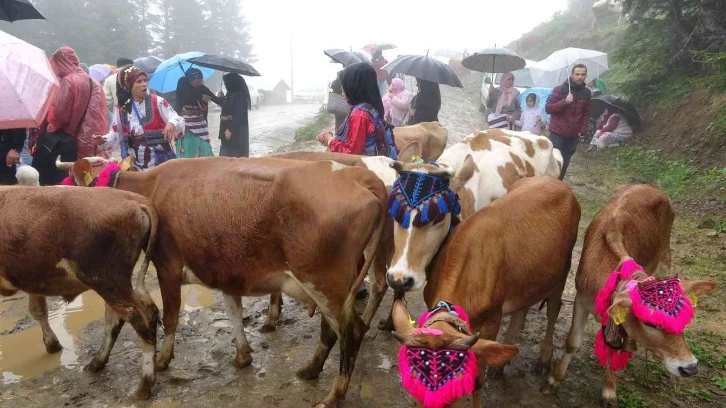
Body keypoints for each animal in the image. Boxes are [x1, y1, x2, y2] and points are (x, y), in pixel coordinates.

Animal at [0, 186, 159, 400]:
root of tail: (133, 198)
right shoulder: (34, 281)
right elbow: (38, 310)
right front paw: (52, 345)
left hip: (106, 281)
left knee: (140, 319)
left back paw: (144, 385)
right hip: (113, 285)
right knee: (121, 319)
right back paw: (97, 363)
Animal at [59, 157, 390, 408]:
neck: (150, 187)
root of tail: (357, 174)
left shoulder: (168, 266)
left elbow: (171, 316)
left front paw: (163, 359)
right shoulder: (227, 271)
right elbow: (233, 314)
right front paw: (242, 355)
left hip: (325, 284)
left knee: (351, 331)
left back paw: (333, 395)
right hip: (331, 287)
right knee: (332, 329)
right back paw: (311, 369)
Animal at [392, 177, 580, 406]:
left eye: (457, 393)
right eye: (414, 392)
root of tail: (556, 181)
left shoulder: (492, 318)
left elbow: (478, 381)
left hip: (563, 270)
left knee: (554, 310)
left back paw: (544, 360)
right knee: (521, 310)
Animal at [544, 186, 720, 408]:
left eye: (684, 321)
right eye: (650, 323)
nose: (690, 367)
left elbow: (615, 348)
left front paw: (609, 391)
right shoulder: (581, 300)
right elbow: (572, 341)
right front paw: (554, 380)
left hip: (665, 259)